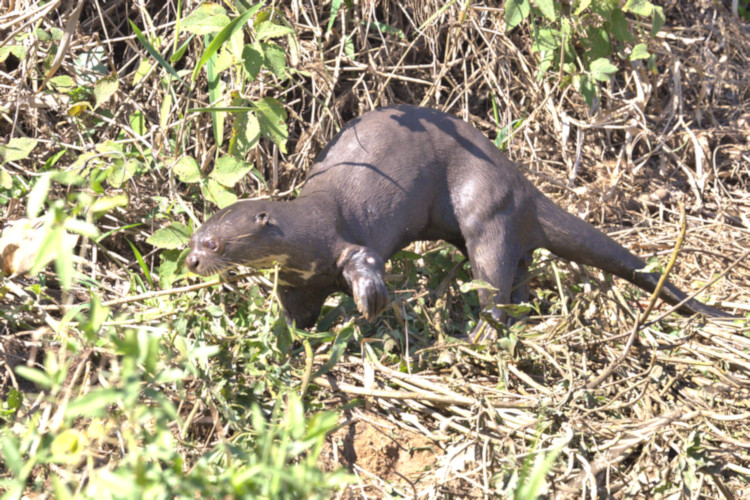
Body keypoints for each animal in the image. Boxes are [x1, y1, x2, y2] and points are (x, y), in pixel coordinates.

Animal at [186, 105, 728, 330]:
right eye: (194, 238)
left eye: (214, 244)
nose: (191, 262)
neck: (306, 233)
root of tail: (522, 184)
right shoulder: (301, 279)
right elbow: (297, 310)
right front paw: (296, 336)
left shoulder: (340, 241)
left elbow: (365, 261)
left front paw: (370, 304)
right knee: (519, 271)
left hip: (485, 210)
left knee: (493, 283)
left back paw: (481, 333)